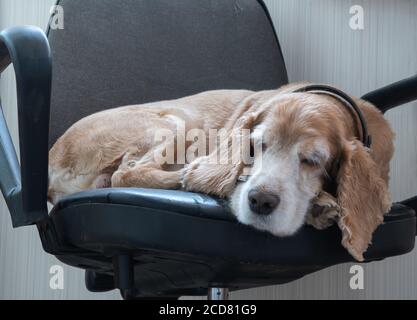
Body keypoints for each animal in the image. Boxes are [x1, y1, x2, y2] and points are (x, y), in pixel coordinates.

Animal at [48, 84, 394, 262]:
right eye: (256, 146)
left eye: (312, 160)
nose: (260, 202)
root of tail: (52, 156)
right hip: (175, 120)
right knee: (128, 174)